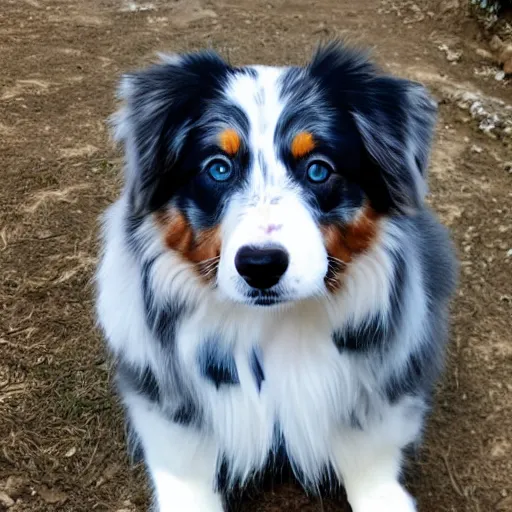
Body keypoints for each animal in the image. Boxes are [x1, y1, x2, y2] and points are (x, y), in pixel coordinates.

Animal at [95, 41, 456, 512]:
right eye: (218, 168)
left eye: (319, 169)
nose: (260, 265)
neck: (273, 325)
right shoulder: (163, 398)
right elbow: (184, 463)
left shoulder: (387, 379)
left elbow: (369, 450)